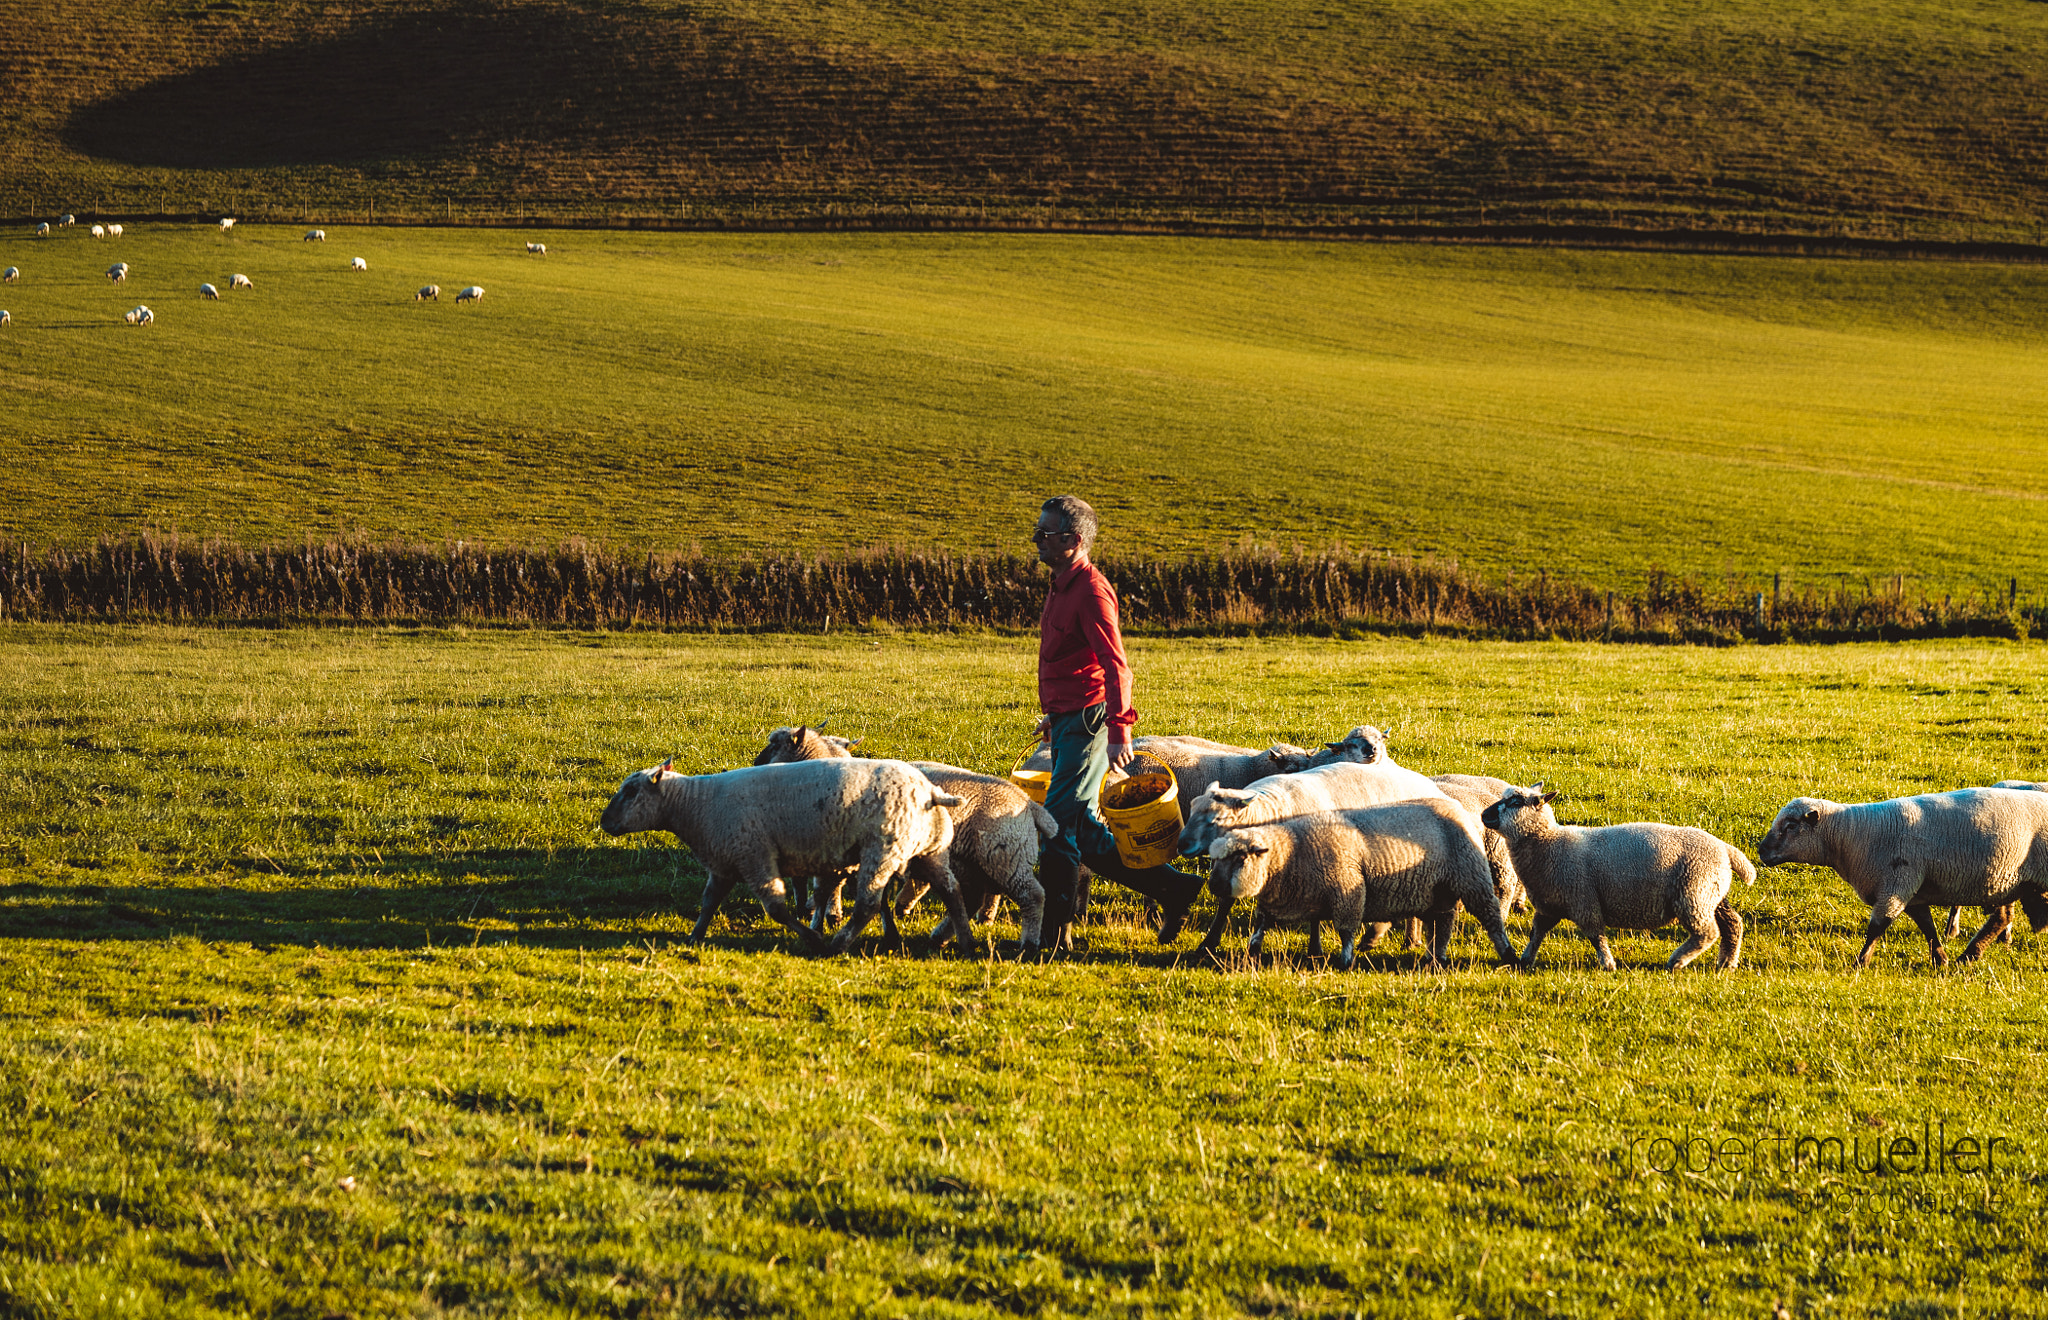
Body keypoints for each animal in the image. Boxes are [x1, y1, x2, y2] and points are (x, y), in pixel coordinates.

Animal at [598, 753, 978, 957]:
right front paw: (694, 937)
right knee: (953, 892)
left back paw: (837, 944)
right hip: (930, 850)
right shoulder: (725, 863)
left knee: (868, 904)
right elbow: (708, 903)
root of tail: (931, 793)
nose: (604, 822)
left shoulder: (754, 857)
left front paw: (812, 938)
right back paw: (967, 941)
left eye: (630, 792)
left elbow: (777, 910)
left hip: (883, 849)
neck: (694, 804)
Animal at [1204, 794, 1531, 965]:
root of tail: (1454, 806)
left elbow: (1346, 930)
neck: (1291, 850)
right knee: (1442, 922)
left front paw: (1345, 960)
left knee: (1490, 916)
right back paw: (1434, 956)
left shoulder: (1347, 889)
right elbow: (1261, 923)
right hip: (1438, 889)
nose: (1214, 886)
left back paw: (1507, 953)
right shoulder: (1281, 899)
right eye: (1216, 859)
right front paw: (1252, 950)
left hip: (1471, 876)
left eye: (1240, 858)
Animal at [1482, 781, 1753, 965]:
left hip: (1693, 893)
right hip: (1710, 893)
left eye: (1516, 802)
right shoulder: (1549, 906)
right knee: (1733, 924)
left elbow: (1596, 936)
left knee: (1707, 932)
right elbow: (1536, 933)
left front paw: (1607, 964)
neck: (1549, 843)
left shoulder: (1584, 901)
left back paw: (1677, 961)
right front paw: (1525, 960)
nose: (1485, 814)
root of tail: (1725, 848)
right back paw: (1726, 964)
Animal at [1744, 785, 2048, 961]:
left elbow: (1877, 927)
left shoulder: (1897, 884)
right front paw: (1940, 959)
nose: (1761, 851)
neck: (1852, 833)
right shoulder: (1912, 892)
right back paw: (1968, 956)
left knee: (2001, 917)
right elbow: (1927, 928)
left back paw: (1970, 955)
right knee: (2002, 917)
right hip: (2006, 880)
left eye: (1791, 825)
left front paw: (1860, 963)